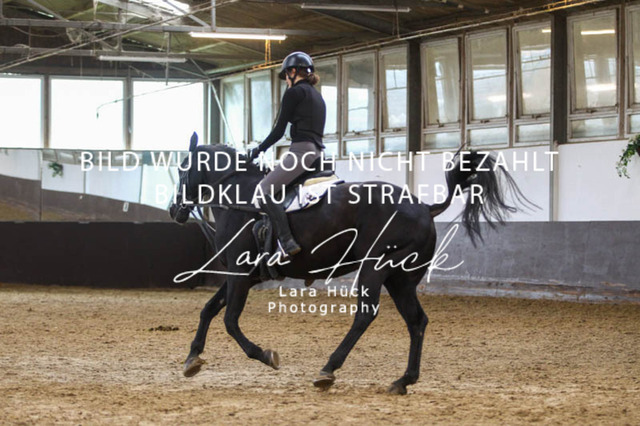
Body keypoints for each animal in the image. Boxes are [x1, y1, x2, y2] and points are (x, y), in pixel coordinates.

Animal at [169, 133, 532, 395]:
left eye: (183, 167)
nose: (174, 210)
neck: (238, 196)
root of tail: (423, 207)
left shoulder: (239, 274)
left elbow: (230, 320)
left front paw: (266, 355)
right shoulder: (243, 275)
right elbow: (209, 310)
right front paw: (192, 358)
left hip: (375, 269)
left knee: (366, 316)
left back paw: (328, 370)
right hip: (400, 279)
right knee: (416, 321)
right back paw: (403, 381)